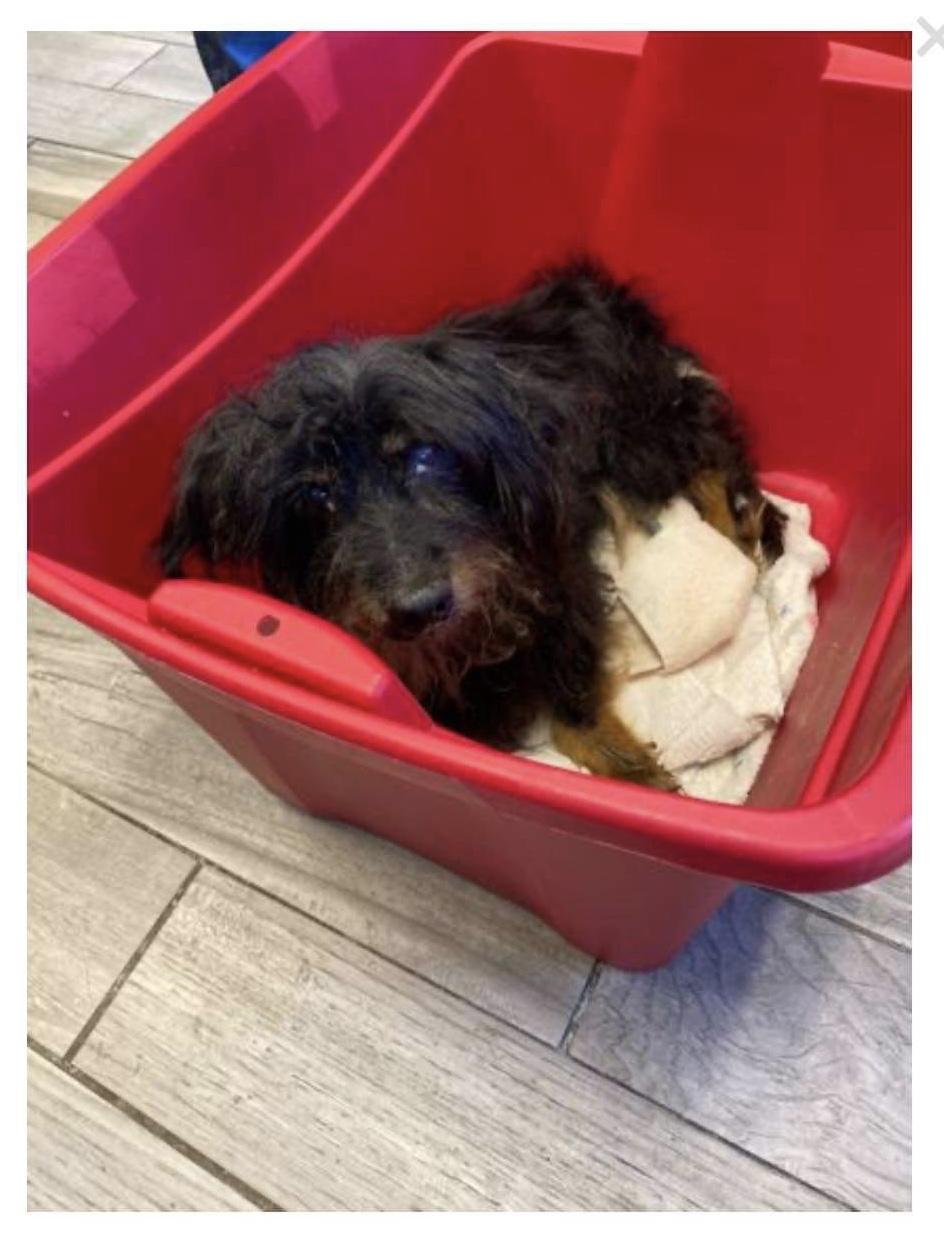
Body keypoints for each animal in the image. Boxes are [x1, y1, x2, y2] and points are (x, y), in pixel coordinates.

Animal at [158, 258, 784, 791]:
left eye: (425, 454)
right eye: (316, 492)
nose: (419, 609)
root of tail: (593, 288)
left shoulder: (564, 578)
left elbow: (573, 701)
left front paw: (629, 769)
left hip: (636, 439)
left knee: (710, 451)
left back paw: (735, 534)